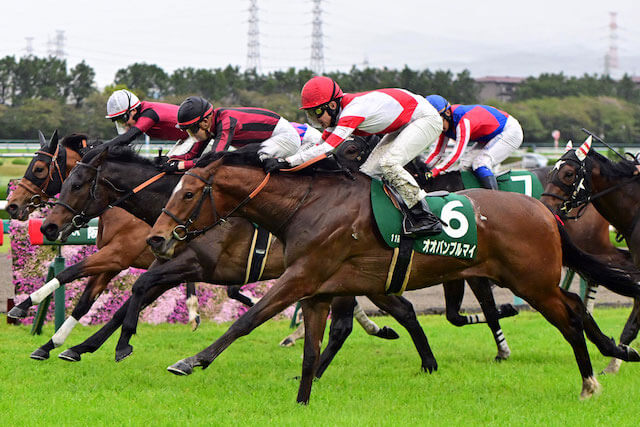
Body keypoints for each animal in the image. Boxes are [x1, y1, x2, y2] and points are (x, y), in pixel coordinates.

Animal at [40, 145, 436, 376]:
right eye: (65, 180)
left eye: (76, 184)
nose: (48, 226)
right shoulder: (168, 265)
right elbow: (130, 299)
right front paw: (74, 347)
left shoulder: (194, 265)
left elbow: (136, 290)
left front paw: (118, 345)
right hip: (364, 277)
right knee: (400, 309)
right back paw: (416, 355)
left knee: (350, 323)